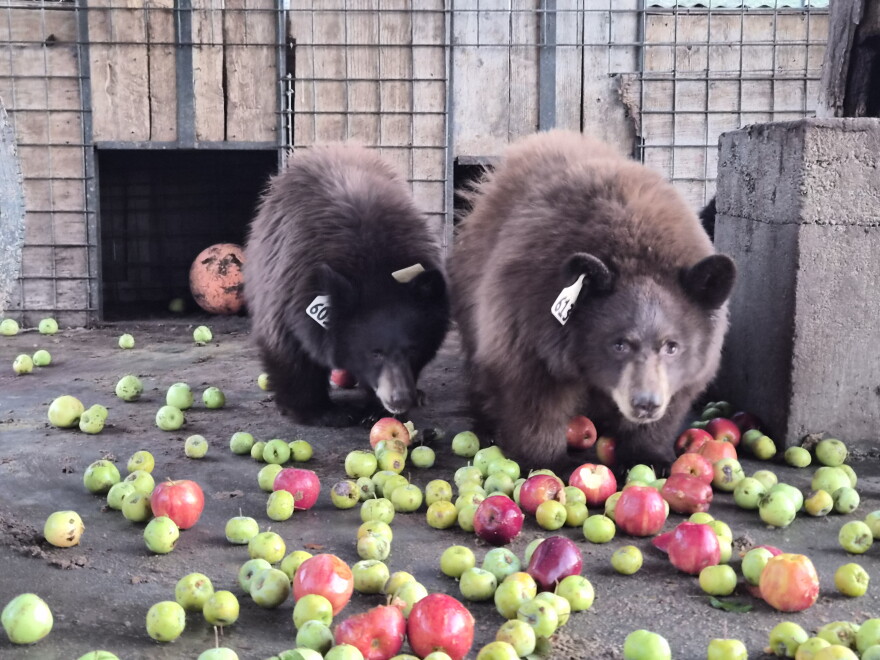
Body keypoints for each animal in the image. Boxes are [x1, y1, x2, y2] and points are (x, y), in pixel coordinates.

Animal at [244, 144, 450, 426]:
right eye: (375, 352)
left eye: (413, 349)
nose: (398, 400)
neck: (373, 266)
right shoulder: (289, 285)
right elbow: (287, 347)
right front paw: (320, 411)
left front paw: (377, 409)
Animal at [449, 130, 736, 473]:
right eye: (619, 343)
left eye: (672, 346)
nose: (645, 404)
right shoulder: (528, 314)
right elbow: (533, 392)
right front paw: (547, 460)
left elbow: (675, 399)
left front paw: (650, 456)